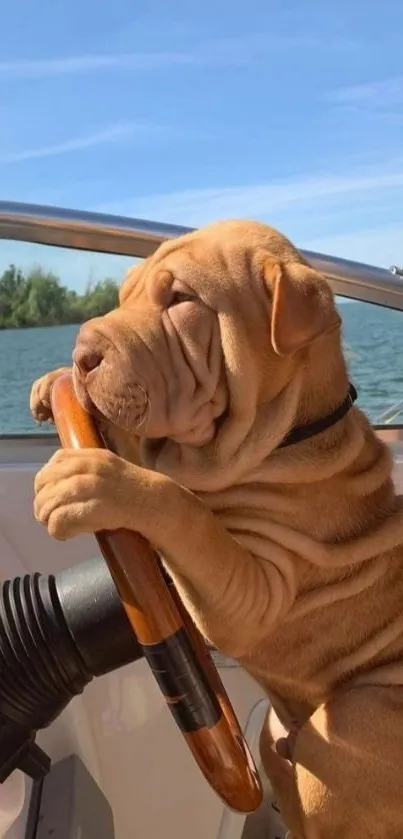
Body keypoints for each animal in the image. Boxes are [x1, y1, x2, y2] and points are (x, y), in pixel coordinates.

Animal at [31, 223, 403, 839]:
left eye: (181, 300)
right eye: (124, 294)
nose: (82, 354)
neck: (290, 432)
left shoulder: (252, 593)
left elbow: (183, 508)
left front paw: (96, 481)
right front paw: (52, 384)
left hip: (355, 722)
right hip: (274, 738)